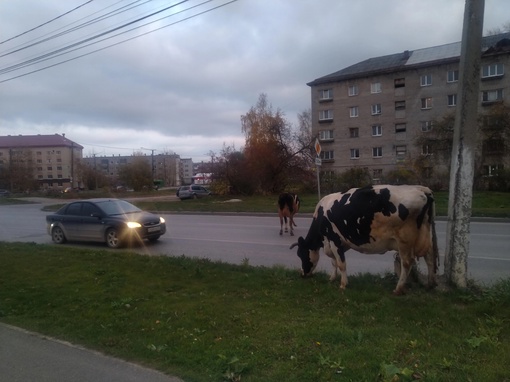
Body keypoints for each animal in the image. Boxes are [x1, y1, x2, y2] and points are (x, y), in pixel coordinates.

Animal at [290, 185, 438, 296]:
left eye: (301, 254)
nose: (302, 274)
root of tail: (421, 189)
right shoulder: (336, 242)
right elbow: (334, 262)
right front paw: (332, 278)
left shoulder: (334, 239)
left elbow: (341, 263)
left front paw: (343, 284)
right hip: (426, 235)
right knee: (430, 258)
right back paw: (430, 284)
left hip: (404, 239)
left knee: (407, 262)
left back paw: (398, 289)